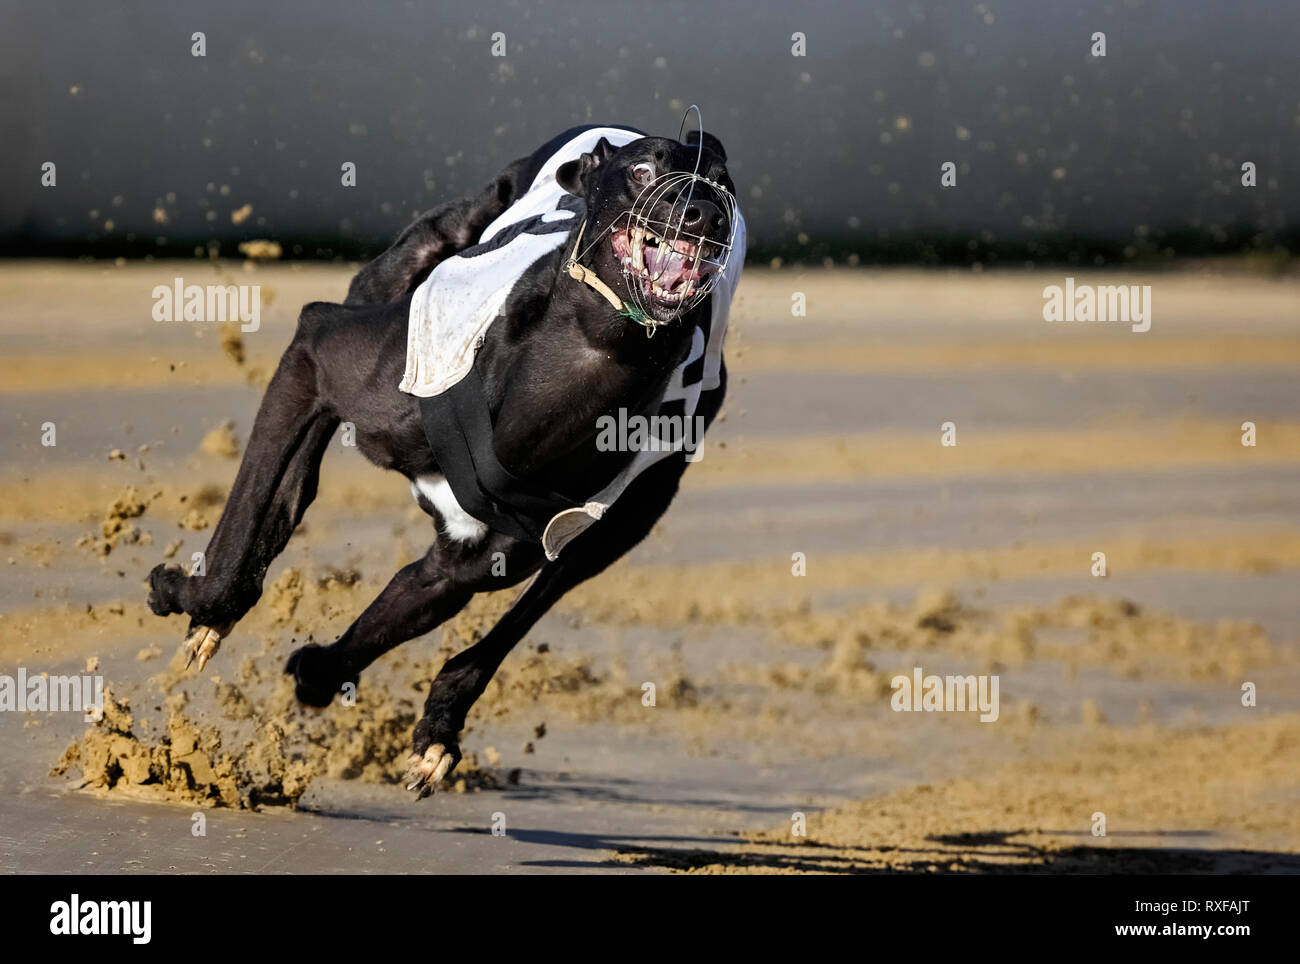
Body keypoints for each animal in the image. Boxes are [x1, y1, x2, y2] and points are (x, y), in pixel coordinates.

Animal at [146, 124, 738, 795]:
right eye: (643, 171)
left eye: (723, 183)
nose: (705, 214)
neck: (588, 356)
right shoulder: (315, 352)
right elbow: (234, 560)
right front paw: (182, 593)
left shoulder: (476, 554)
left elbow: (443, 602)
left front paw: (395, 713)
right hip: (396, 274)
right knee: (292, 484)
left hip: (618, 520)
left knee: (487, 599)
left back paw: (387, 702)